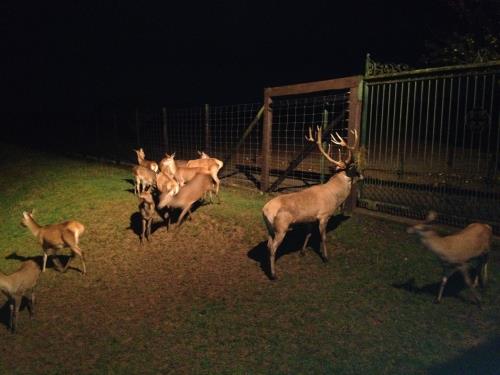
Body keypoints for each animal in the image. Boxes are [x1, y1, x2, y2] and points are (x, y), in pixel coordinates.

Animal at [260, 128, 362, 280]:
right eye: (354, 168)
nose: (362, 175)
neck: (335, 195)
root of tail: (265, 210)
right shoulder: (324, 215)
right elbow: (323, 237)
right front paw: (325, 257)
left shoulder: (310, 218)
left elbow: (308, 234)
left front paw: (302, 252)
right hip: (281, 227)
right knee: (273, 248)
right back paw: (273, 275)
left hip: (270, 228)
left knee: (267, 245)